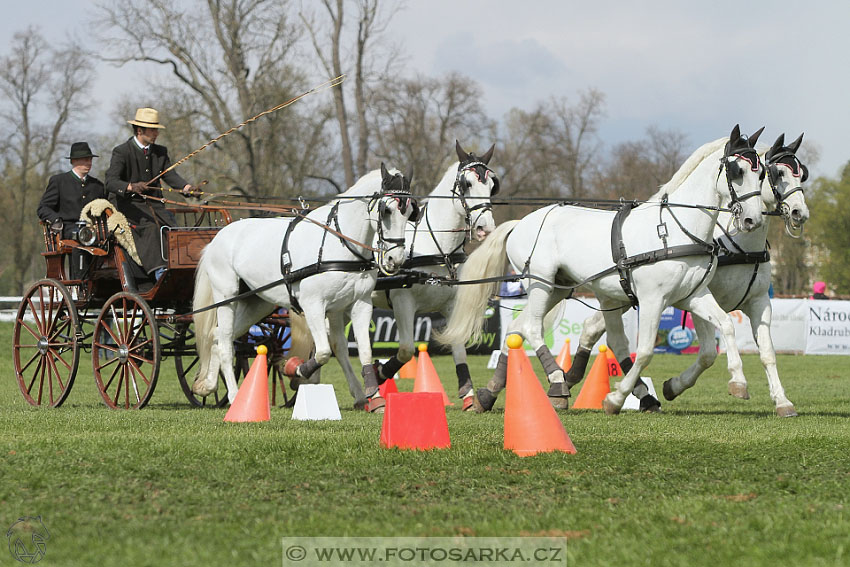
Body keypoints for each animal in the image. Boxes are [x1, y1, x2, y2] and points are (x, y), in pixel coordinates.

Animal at [193, 164, 418, 408]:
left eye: (409, 212)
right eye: (387, 210)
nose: (395, 259)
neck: (338, 242)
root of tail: (217, 239)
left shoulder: (359, 304)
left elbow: (362, 351)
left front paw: (373, 397)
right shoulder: (313, 305)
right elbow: (323, 352)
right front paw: (296, 370)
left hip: (256, 303)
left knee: (217, 335)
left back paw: (208, 385)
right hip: (226, 296)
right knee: (225, 341)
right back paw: (235, 396)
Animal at [440, 126, 764, 414]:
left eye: (761, 173)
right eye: (737, 170)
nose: (753, 220)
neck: (674, 229)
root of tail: (520, 223)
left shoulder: (692, 296)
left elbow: (724, 327)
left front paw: (737, 382)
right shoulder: (652, 300)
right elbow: (645, 351)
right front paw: (615, 398)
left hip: (557, 287)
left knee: (516, 329)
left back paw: (488, 394)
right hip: (540, 282)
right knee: (531, 328)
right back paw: (557, 383)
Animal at [564, 133, 808, 418]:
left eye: (802, 174)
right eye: (777, 173)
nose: (800, 213)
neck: (739, 246)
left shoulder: (758, 301)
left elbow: (767, 352)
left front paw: (782, 401)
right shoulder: (698, 298)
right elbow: (708, 353)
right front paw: (676, 386)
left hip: (622, 296)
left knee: (594, 328)